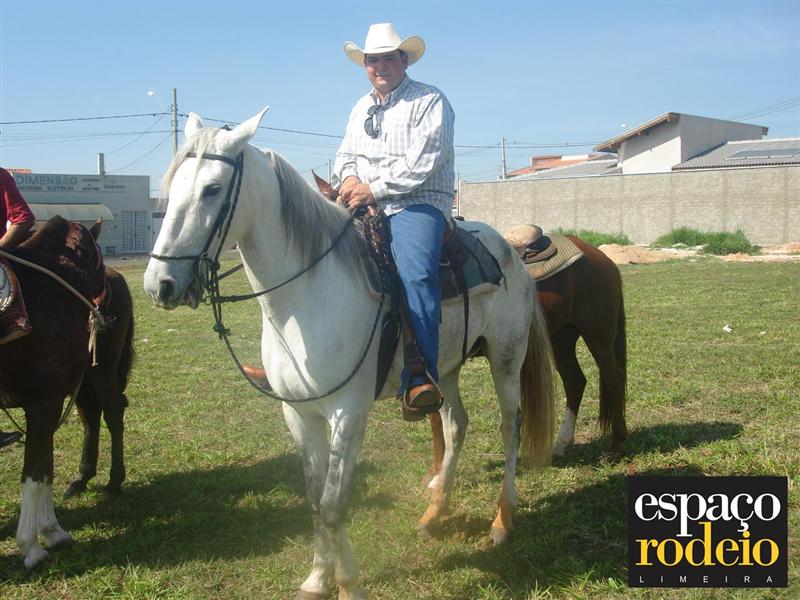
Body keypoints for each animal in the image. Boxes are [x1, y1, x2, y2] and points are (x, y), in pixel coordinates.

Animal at [0, 216, 106, 569]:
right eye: (101, 261)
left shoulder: (51, 403)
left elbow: (45, 469)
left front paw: (52, 531)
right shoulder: (44, 403)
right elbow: (34, 475)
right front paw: (31, 546)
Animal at [143, 108, 555, 600]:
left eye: (211, 189)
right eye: (172, 188)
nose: (160, 285)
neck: (306, 296)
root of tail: (508, 249)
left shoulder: (348, 412)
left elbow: (334, 504)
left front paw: (348, 585)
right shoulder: (299, 413)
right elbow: (315, 501)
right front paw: (318, 578)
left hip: (506, 359)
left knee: (510, 428)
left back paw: (502, 521)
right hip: (447, 367)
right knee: (456, 425)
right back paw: (434, 513)